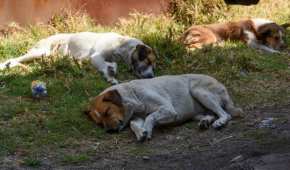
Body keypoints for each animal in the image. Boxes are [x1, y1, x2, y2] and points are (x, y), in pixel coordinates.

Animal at [0, 31, 156, 84]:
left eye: (153, 66)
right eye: (147, 60)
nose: (151, 77)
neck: (120, 46)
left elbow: (112, 65)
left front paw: (111, 71)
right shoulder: (96, 56)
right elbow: (106, 65)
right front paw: (110, 76)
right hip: (40, 53)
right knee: (14, 59)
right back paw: (4, 66)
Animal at [84, 73, 242, 141]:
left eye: (107, 111)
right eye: (100, 123)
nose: (110, 131)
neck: (134, 95)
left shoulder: (168, 110)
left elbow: (150, 117)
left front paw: (147, 130)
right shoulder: (137, 118)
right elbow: (134, 125)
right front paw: (141, 132)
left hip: (199, 91)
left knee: (225, 114)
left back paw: (220, 122)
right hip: (196, 111)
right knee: (211, 114)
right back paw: (205, 121)